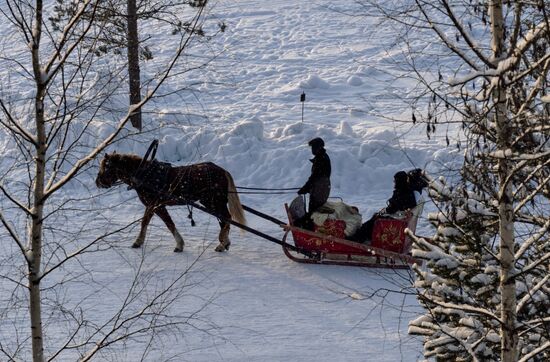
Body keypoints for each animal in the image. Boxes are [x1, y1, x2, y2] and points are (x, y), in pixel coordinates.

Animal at [96, 153, 247, 252]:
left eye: (106, 167)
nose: (98, 182)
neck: (144, 175)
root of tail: (223, 171)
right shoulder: (152, 205)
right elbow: (146, 222)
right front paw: (139, 241)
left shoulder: (156, 205)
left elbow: (168, 223)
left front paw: (179, 244)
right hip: (213, 202)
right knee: (223, 220)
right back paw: (224, 242)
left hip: (213, 201)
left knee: (226, 218)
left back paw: (222, 242)